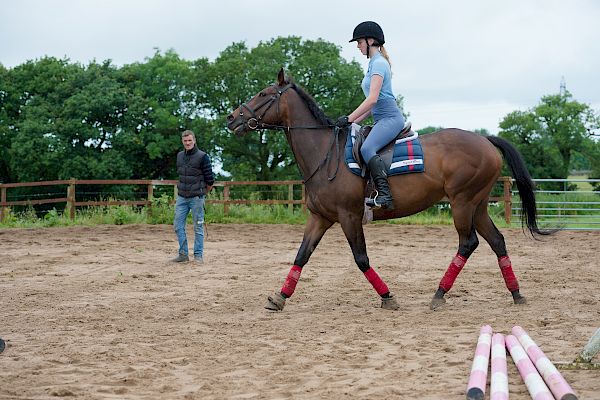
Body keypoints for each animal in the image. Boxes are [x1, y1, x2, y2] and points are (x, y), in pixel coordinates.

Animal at [225, 68, 548, 312]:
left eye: (263, 94)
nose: (231, 118)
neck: (325, 154)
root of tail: (486, 140)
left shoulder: (349, 216)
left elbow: (361, 258)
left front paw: (387, 297)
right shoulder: (320, 217)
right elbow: (301, 256)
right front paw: (280, 297)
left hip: (462, 203)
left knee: (468, 243)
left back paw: (439, 294)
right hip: (478, 205)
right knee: (497, 242)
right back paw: (516, 293)